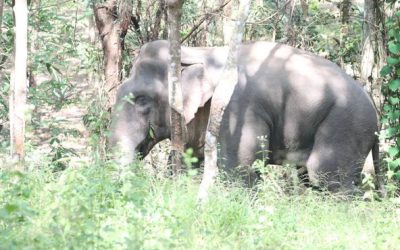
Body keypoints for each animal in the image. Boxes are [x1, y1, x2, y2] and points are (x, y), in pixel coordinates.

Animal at [110, 40, 384, 194]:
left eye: (142, 100)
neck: (201, 52)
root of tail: (375, 111)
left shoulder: (239, 108)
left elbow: (239, 169)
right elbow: (192, 163)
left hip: (347, 124)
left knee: (327, 176)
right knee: (309, 177)